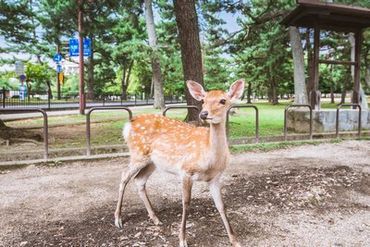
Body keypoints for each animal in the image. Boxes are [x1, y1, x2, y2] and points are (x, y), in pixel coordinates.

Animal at [114, 79, 244, 247]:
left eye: (223, 100)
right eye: (203, 100)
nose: (204, 114)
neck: (210, 159)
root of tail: (128, 124)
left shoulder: (215, 177)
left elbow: (221, 206)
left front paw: (234, 240)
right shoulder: (186, 170)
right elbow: (186, 203)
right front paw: (182, 239)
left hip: (152, 162)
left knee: (139, 180)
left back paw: (156, 219)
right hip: (138, 154)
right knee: (124, 175)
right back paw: (118, 219)